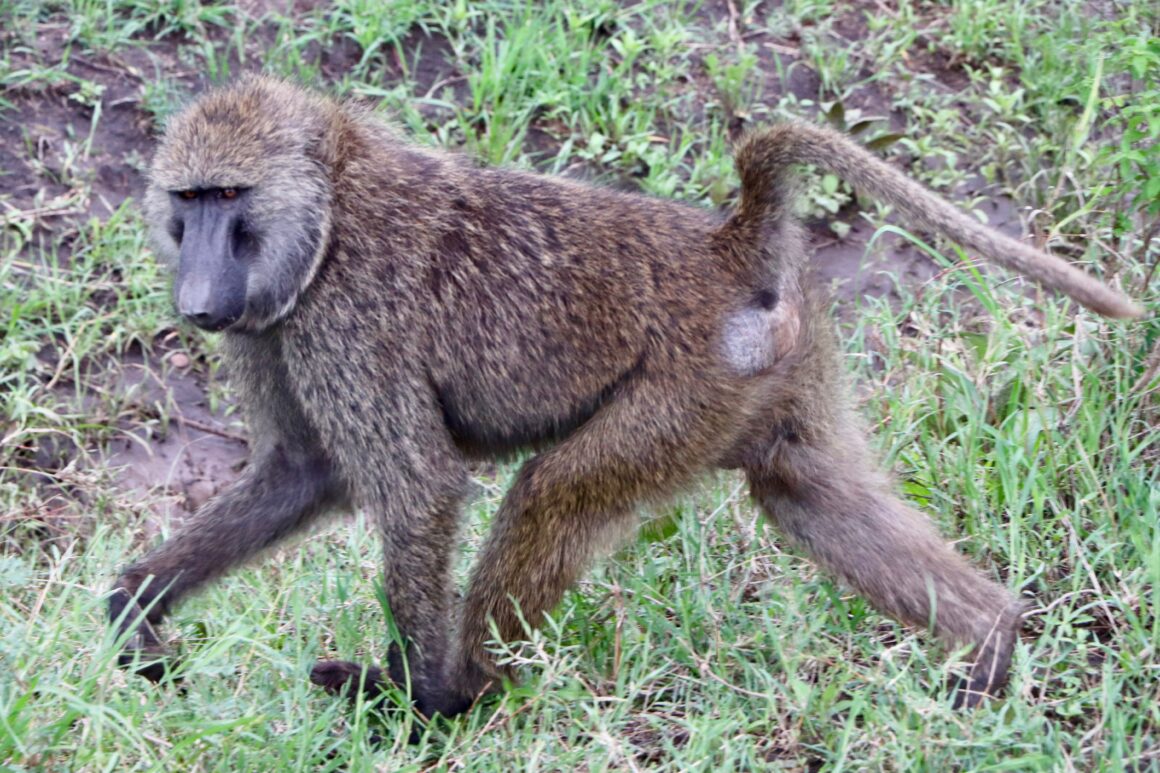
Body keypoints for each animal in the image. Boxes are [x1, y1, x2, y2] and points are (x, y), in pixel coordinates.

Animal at [108, 75, 1141, 726]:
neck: (332, 200)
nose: (196, 301)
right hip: (771, 374)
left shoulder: (349, 316)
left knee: (553, 493)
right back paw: (993, 647)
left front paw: (417, 703)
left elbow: (417, 488)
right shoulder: (273, 324)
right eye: (186, 201)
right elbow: (302, 472)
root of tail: (725, 244)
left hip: (687, 389)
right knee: (806, 493)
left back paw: (460, 696)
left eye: (229, 198)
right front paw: (134, 605)